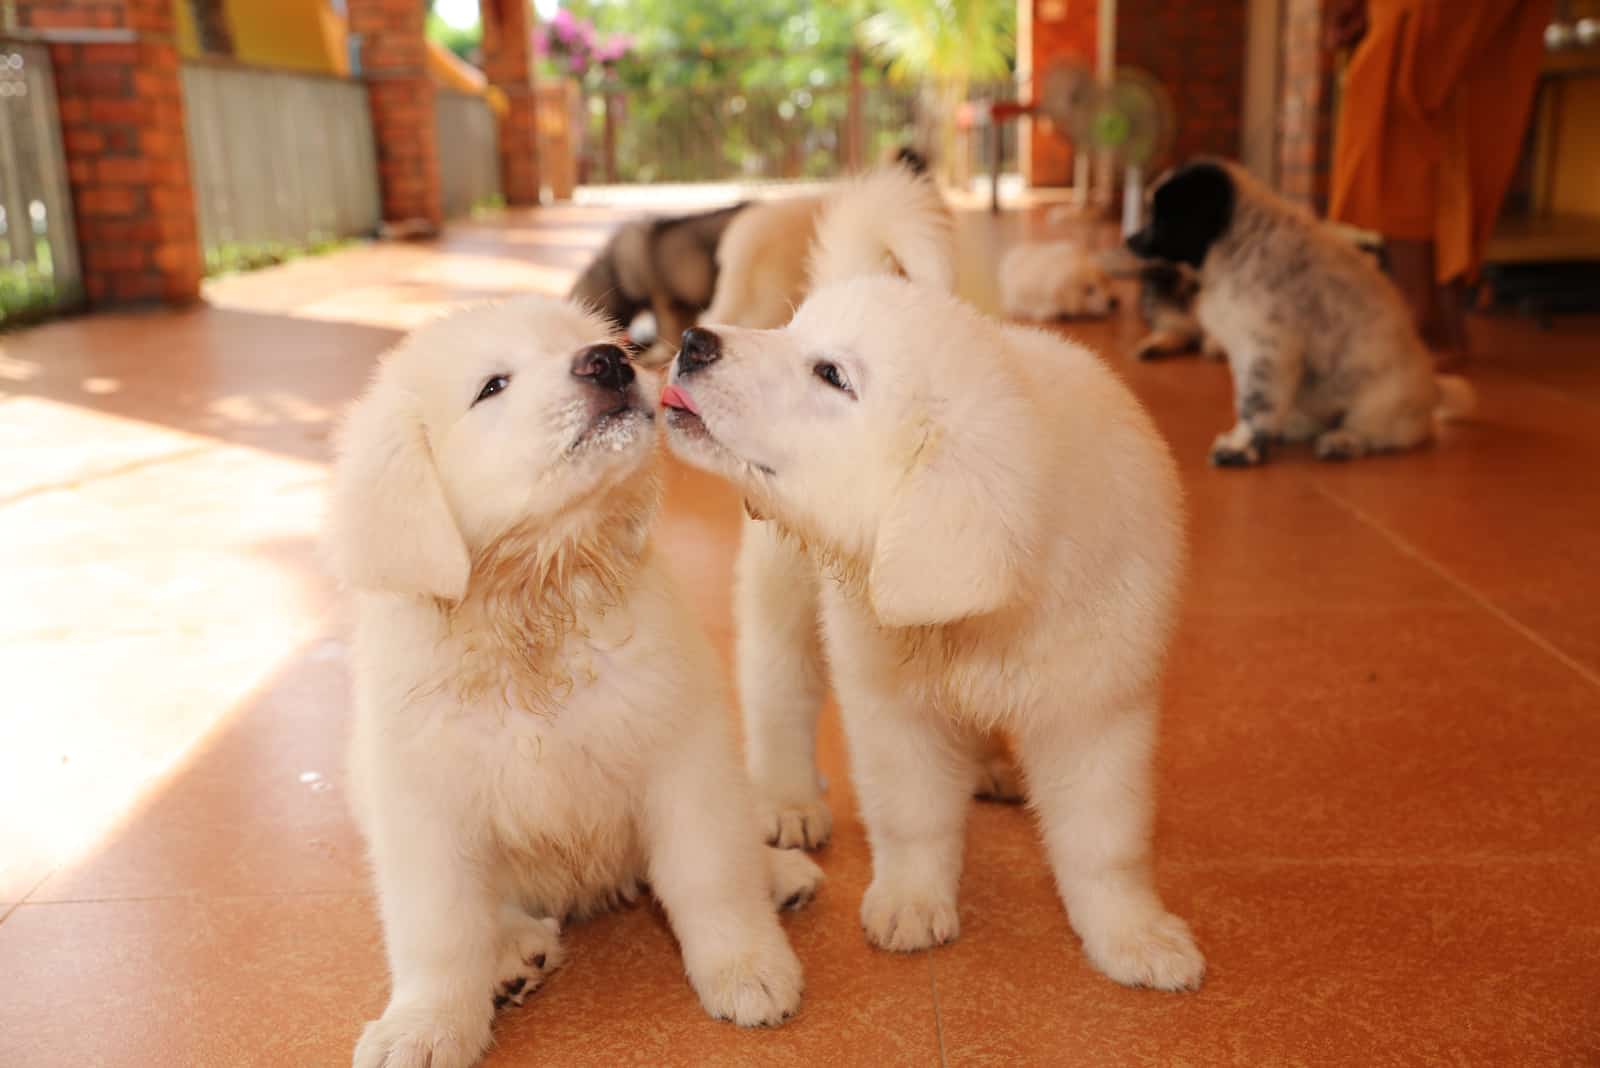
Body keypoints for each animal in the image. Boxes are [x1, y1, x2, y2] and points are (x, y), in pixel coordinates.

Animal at [328, 295, 825, 1068]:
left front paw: (747, 968)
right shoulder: (421, 804)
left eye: (587, 342)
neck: (536, 601)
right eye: (492, 386)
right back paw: (512, 954)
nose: (609, 361)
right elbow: (439, 934)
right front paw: (427, 1025)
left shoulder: (682, 753)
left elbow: (711, 875)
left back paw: (779, 874)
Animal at [1126, 158, 1472, 463]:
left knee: (1373, 432)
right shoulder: (1246, 352)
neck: (1239, 246)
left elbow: (1254, 404)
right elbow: (1252, 402)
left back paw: (1342, 441)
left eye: (1161, 218)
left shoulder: (1266, 350)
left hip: (1379, 402)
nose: (1129, 239)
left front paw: (1241, 448)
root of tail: (1433, 390)